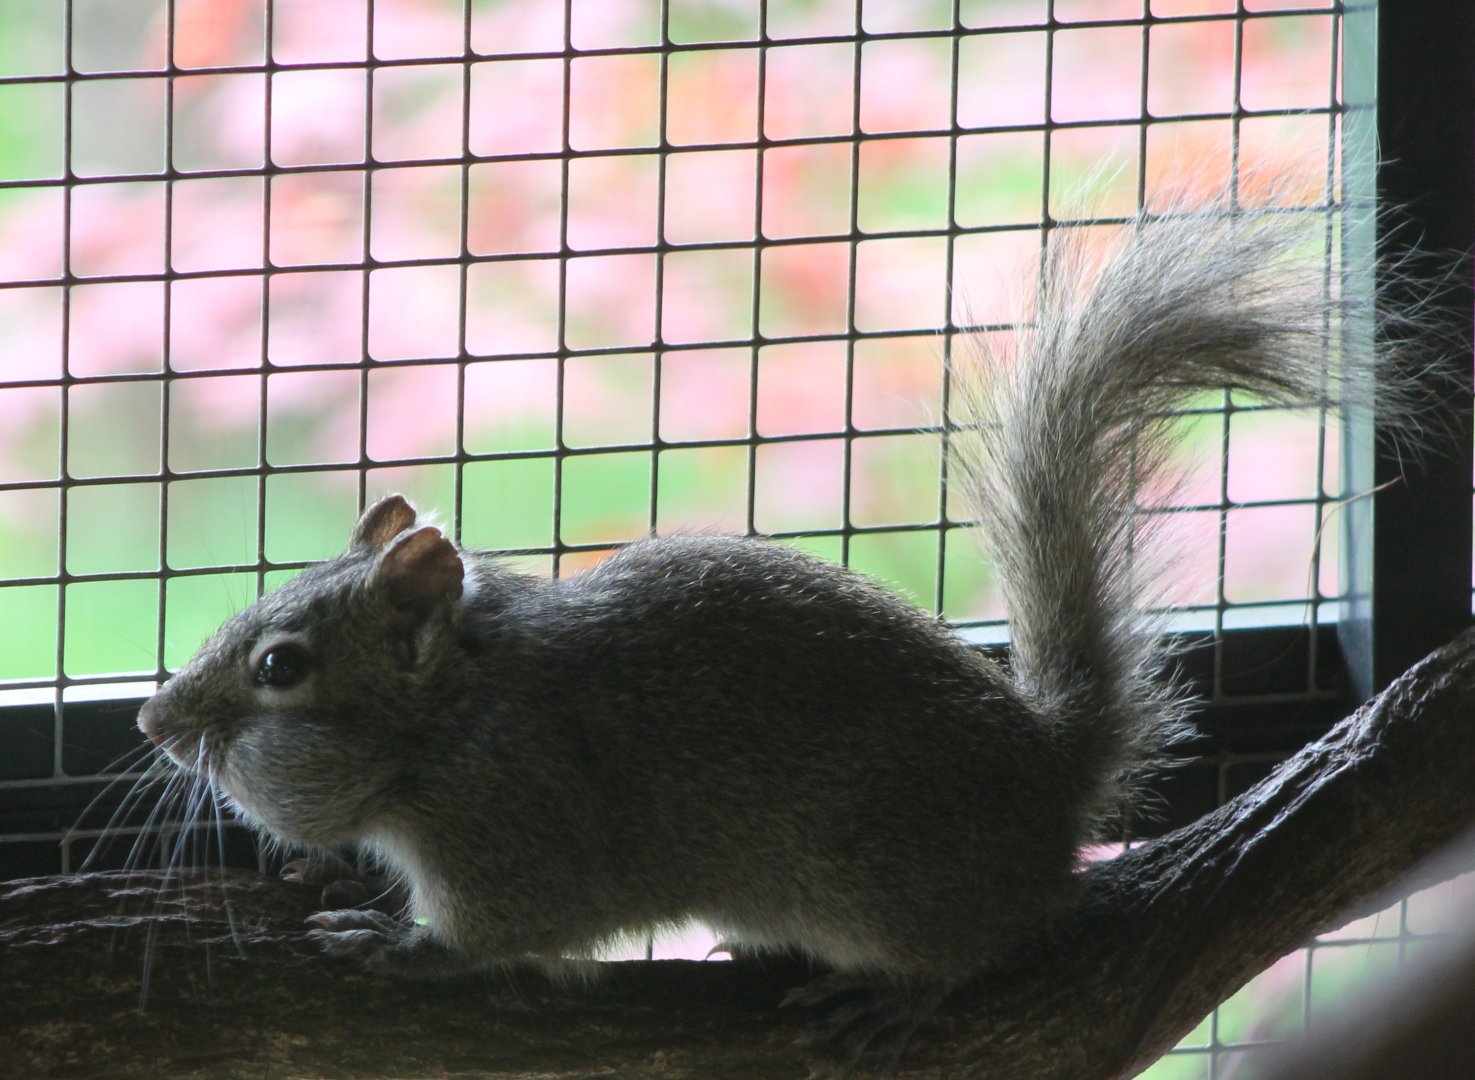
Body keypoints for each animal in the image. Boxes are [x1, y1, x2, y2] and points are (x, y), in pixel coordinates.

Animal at [136, 201, 1394, 1068]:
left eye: (280, 667)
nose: (154, 721)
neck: (453, 715)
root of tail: (1048, 778)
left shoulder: (508, 827)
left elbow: (484, 941)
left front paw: (384, 946)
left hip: (892, 881)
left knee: (978, 949)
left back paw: (895, 992)